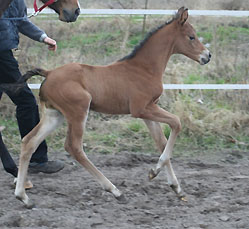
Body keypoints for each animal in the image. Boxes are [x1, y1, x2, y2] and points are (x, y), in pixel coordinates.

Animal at [14, 7, 211, 208]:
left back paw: (23, 196)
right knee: (74, 147)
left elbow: (161, 142)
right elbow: (176, 123)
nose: (207, 56)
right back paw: (115, 190)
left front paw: (175, 187)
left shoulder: (149, 111)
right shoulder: (141, 109)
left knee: (29, 141)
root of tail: (49, 73)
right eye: (191, 37)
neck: (144, 68)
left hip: (55, 115)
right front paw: (155, 172)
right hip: (78, 111)